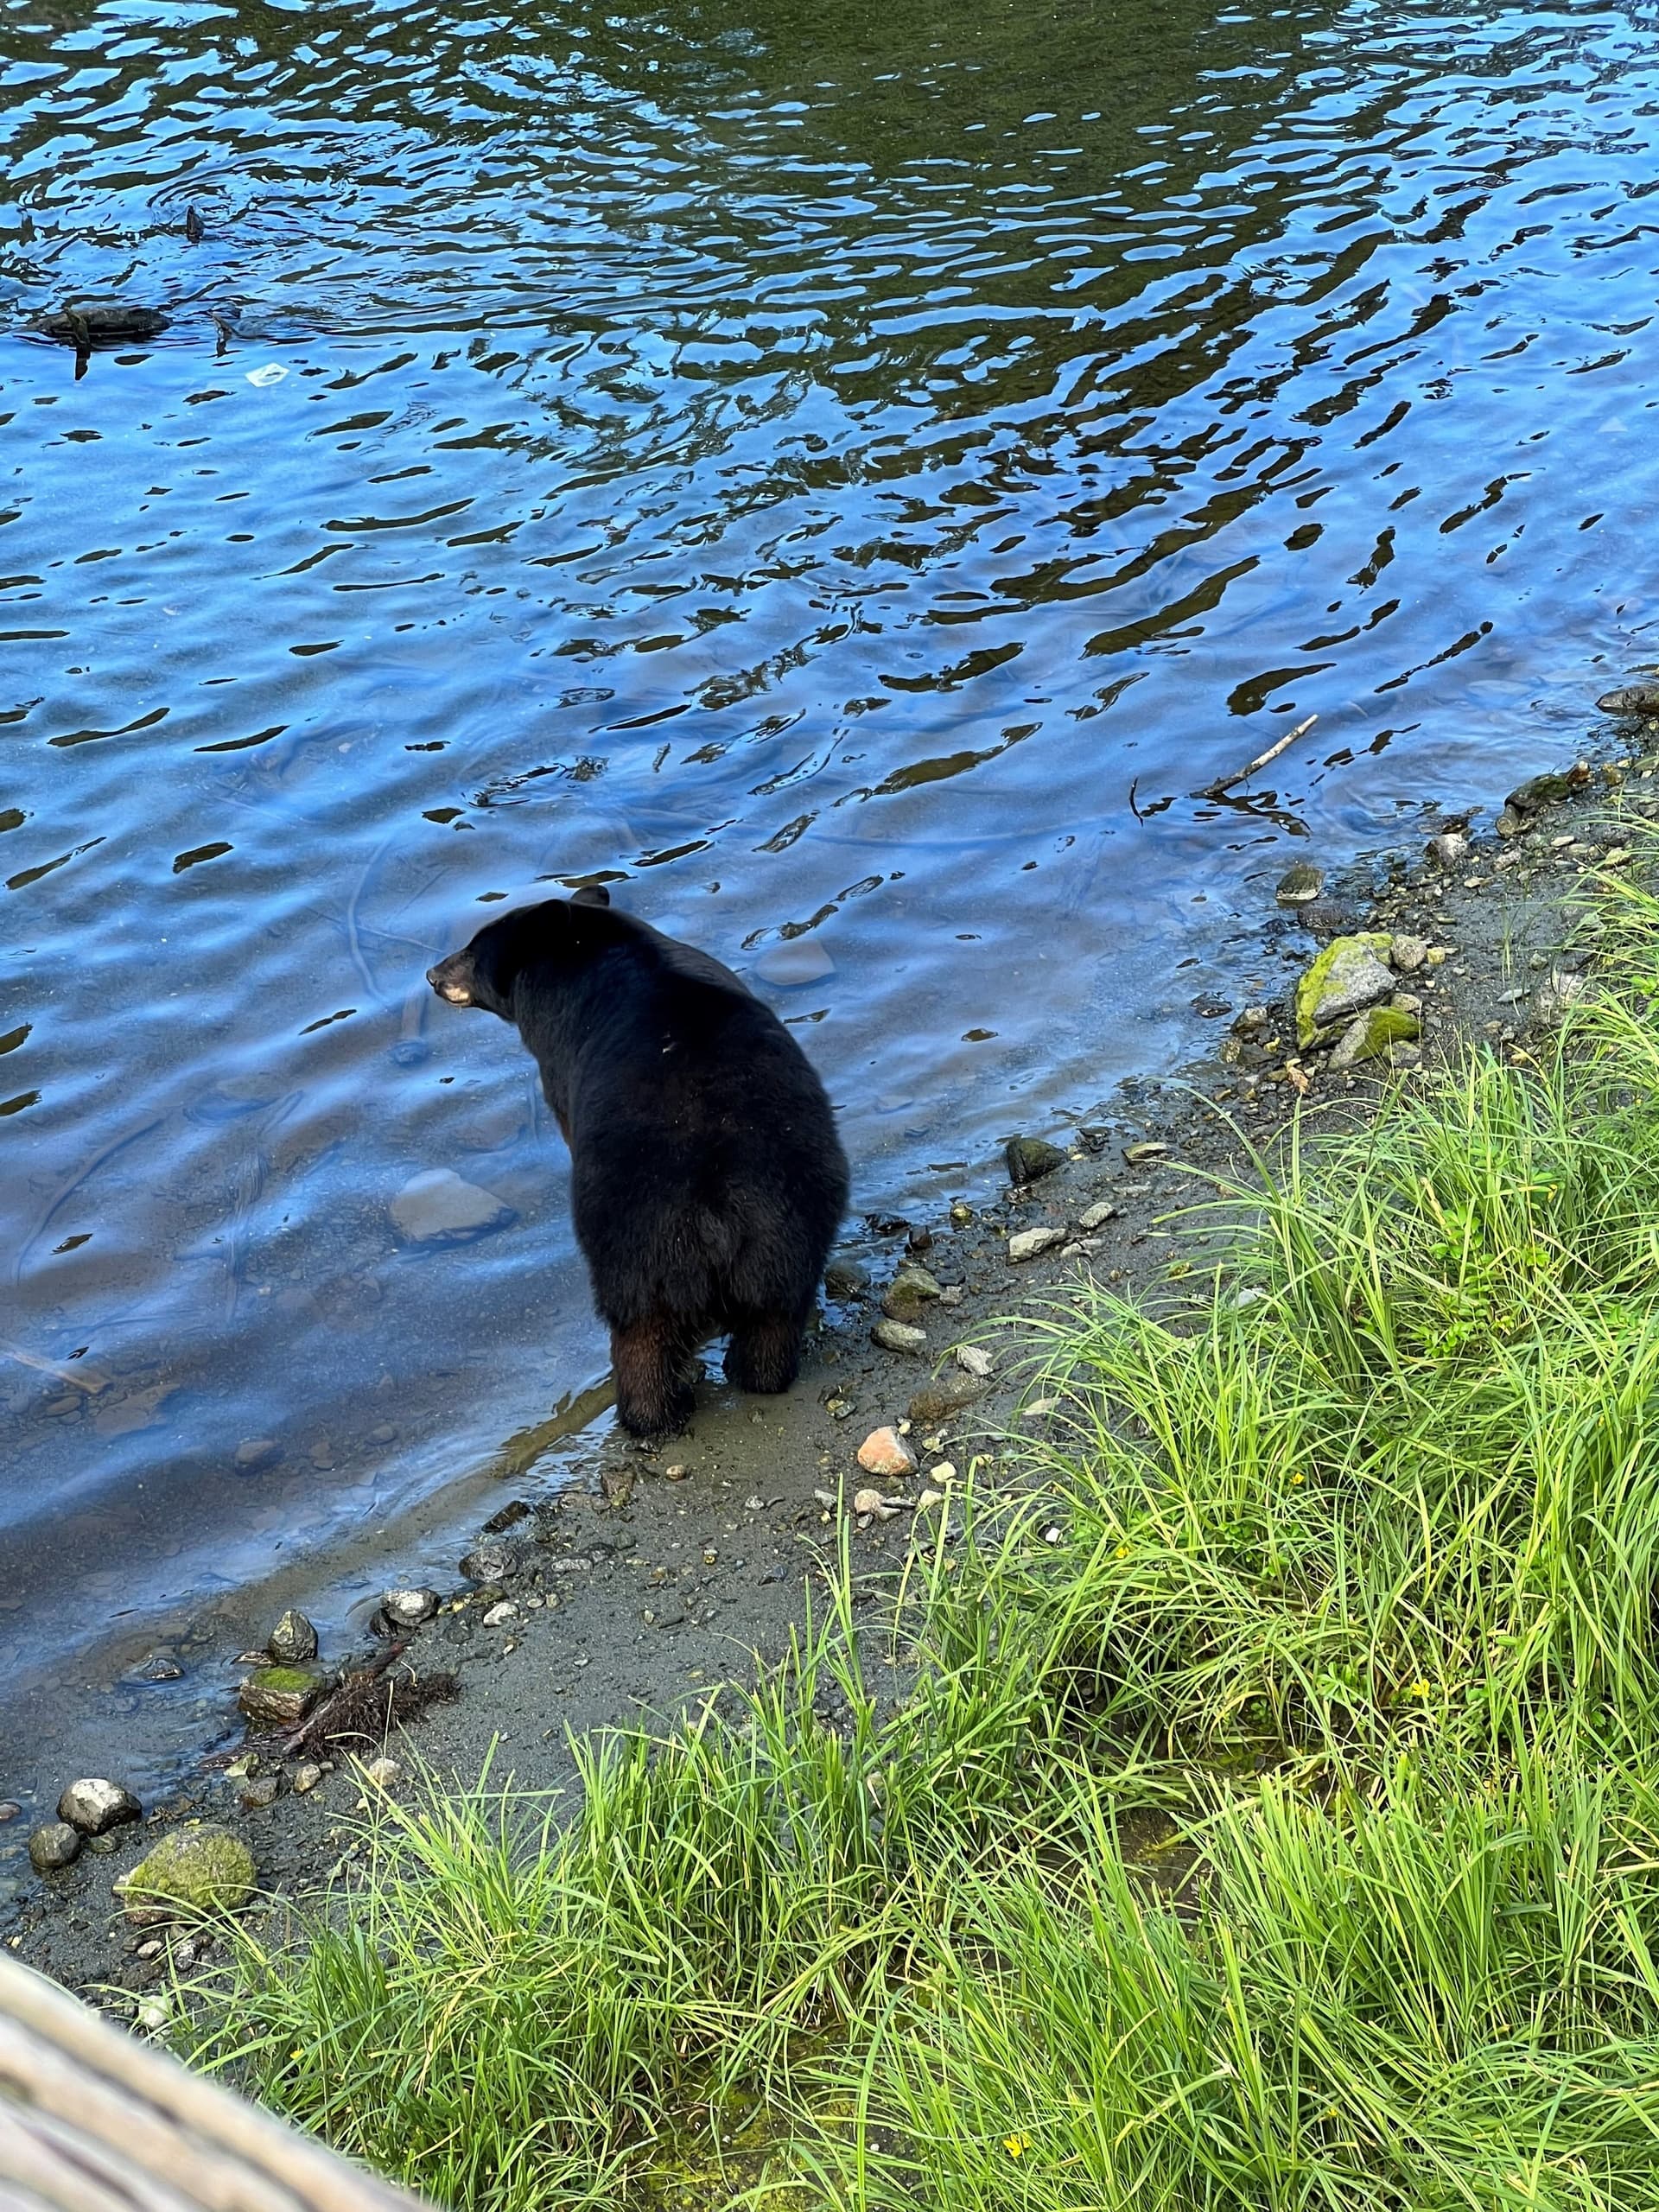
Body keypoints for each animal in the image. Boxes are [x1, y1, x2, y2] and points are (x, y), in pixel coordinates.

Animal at [427, 886, 849, 1439]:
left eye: (473, 950)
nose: (432, 975)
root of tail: (719, 1204)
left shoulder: (560, 1065)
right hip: (793, 1218)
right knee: (773, 1320)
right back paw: (757, 1374)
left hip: (639, 1239)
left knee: (640, 1333)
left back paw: (646, 1418)